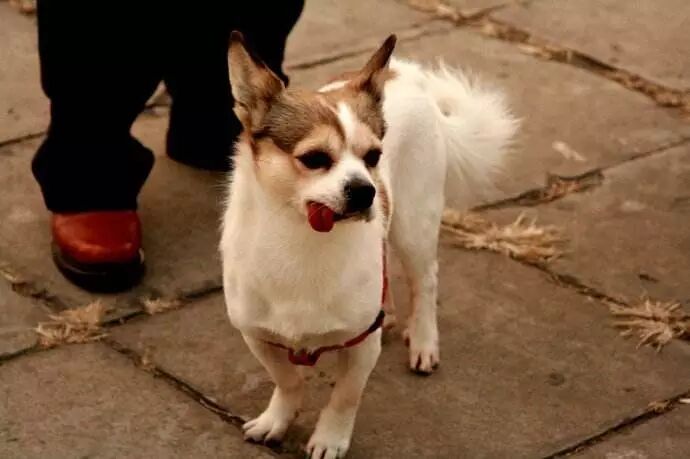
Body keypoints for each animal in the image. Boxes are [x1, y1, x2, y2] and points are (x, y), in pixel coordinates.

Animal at [220, 32, 518, 458]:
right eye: (314, 159)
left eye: (374, 156)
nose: (366, 191)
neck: (302, 242)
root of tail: (406, 71)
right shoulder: (259, 336)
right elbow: (288, 380)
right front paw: (277, 419)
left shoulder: (363, 346)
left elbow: (345, 396)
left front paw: (330, 439)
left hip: (413, 226)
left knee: (426, 280)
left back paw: (423, 340)